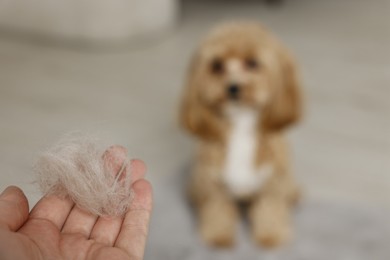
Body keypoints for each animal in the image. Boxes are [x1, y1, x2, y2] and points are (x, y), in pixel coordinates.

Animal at [181, 21, 304, 248]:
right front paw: (218, 236)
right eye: (216, 65)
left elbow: (270, 207)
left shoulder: (273, 180)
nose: (233, 87)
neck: (241, 124)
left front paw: (271, 236)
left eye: (252, 63)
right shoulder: (212, 182)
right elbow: (217, 208)